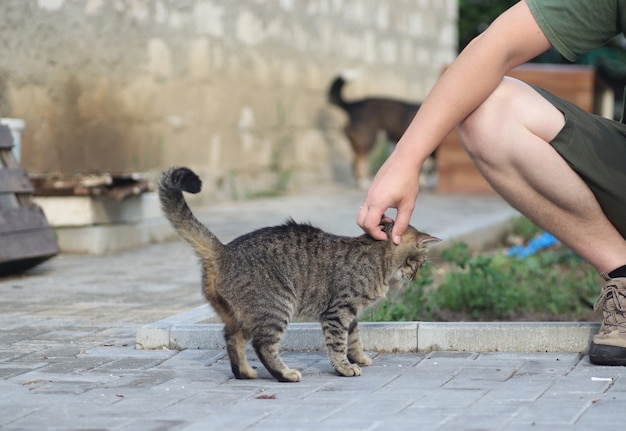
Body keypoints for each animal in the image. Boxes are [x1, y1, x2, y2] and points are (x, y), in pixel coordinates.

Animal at [158, 167, 436, 384]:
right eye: (420, 263)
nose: (416, 277)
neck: (379, 259)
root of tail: (224, 250)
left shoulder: (350, 314)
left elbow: (354, 338)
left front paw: (359, 358)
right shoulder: (338, 311)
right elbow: (338, 343)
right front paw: (345, 367)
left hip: (240, 315)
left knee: (232, 339)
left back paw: (245, 373)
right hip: (277, 306)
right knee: (263, 345)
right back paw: (285, 374)